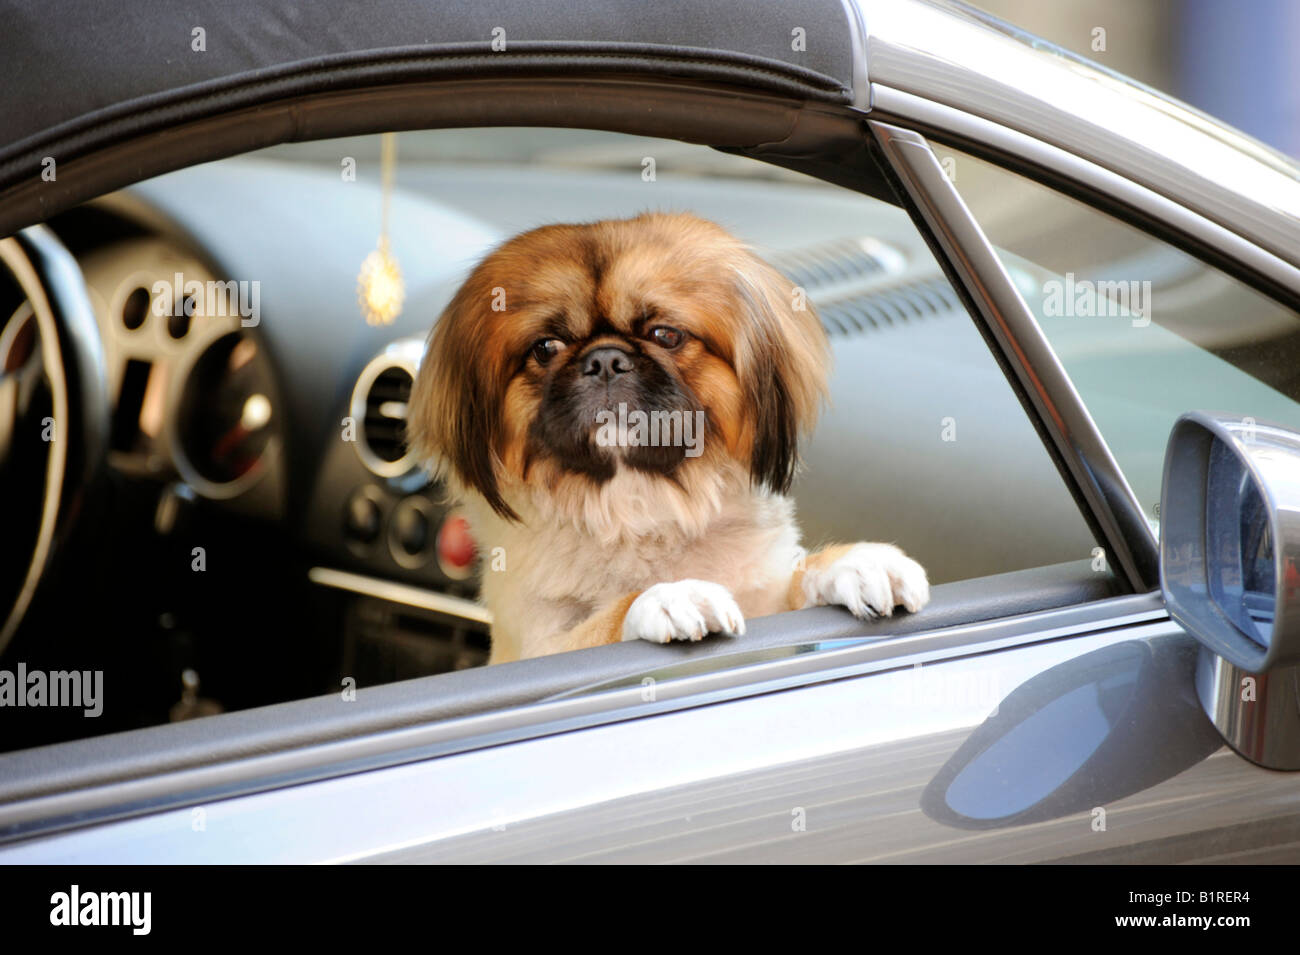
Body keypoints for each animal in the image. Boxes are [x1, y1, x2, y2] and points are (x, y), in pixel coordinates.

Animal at [410, 213, 930, 665]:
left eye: (665, 334)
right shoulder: (540, 648)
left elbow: (798, 578)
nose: (604, 359)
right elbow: (610, 615)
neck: (641, 507)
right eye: (546, 347)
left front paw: (856, 564)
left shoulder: (769, 604)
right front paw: (672, 594)